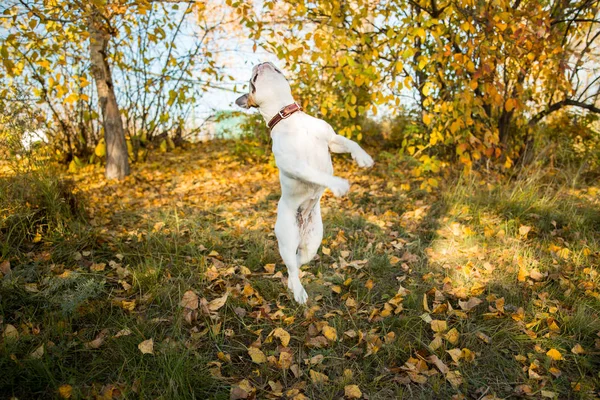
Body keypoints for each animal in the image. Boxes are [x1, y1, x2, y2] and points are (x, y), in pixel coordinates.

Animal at [236, 61, 372, 304]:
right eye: (252, 82)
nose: (261, 61)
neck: (290, 118)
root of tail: (301, 228)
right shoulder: (295, 165)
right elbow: (316, 174)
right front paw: (337, 184)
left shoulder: (333, 140)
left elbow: (351, 142)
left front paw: (363, 157)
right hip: (287, 239)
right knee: (290, 265)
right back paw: (298, 291)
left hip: (312, 244)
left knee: (297, 264)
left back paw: (293, 283)